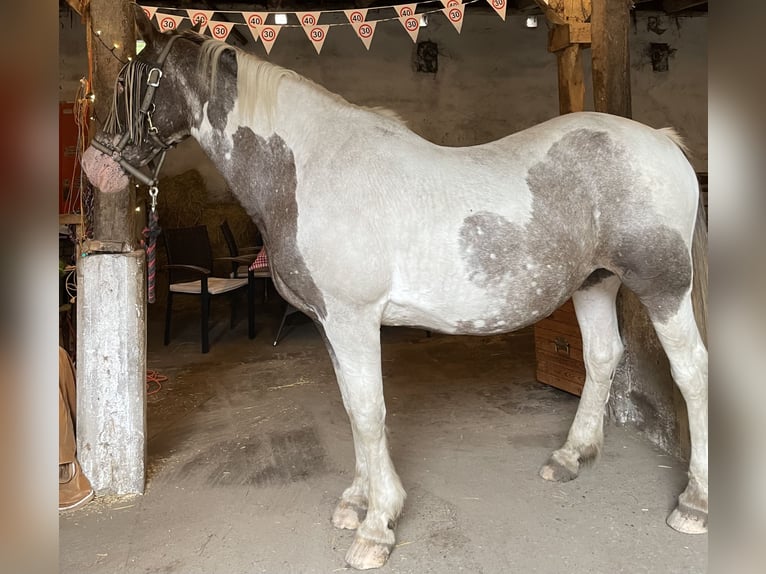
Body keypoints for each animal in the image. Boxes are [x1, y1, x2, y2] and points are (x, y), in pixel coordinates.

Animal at [81, 6, 708, 570]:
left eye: (129, 79)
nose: (94, 166)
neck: (310, 169)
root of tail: (660, 140)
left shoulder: (354, 319)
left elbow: (368, 411)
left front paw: (377, 527)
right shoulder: (332, 324)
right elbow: (353, 407)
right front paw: (357, 503)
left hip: (664, 287)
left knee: (692, 372)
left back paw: (694, 504)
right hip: (595, 282)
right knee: (602, 357)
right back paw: (571, 456)